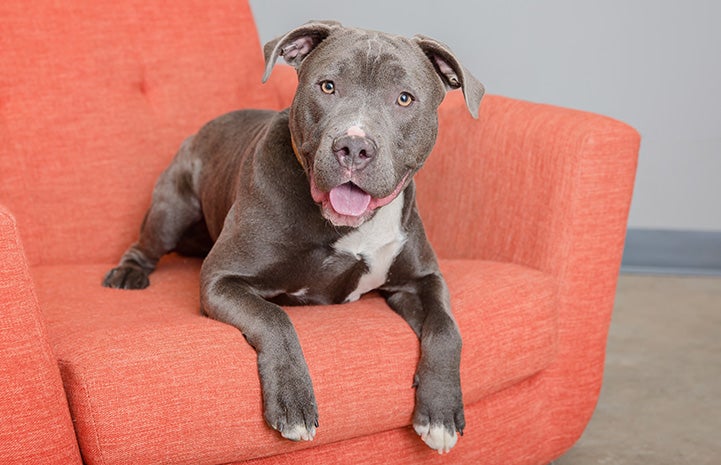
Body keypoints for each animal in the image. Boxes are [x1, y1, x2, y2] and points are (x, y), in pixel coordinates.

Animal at [101, 21, 484, 454]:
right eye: (328, 86)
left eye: (404, 98)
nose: (354, 145)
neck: (347, 226)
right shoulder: (222, 279)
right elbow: (275, 317)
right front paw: (293, 401)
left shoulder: (423, 280)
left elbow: (446, 327)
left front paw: (440, 412)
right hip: (171, 208)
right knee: (144, 245)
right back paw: (128, 274)